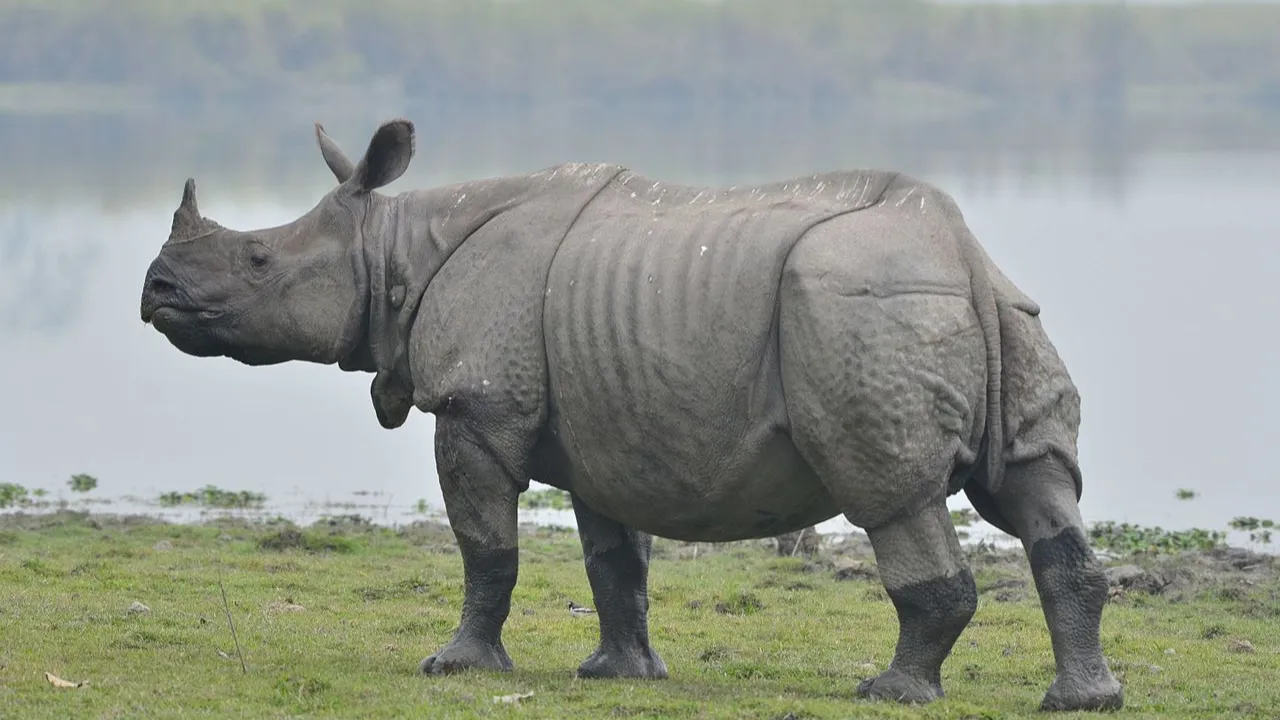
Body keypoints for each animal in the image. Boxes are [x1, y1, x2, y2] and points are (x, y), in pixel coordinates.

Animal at [139, 118, 1123, 712]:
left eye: (258, 261)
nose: (156, 291)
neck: (392, 251)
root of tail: (958, 253)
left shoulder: (477, 407)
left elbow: (486, 549)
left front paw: (455, 666)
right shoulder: (605, 421)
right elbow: (614, 561)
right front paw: (619, 674)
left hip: (860, 310)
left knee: (892, 495)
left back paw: (890, 692)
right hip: (998, 314)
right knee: (1037, 488)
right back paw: (1083, 700)